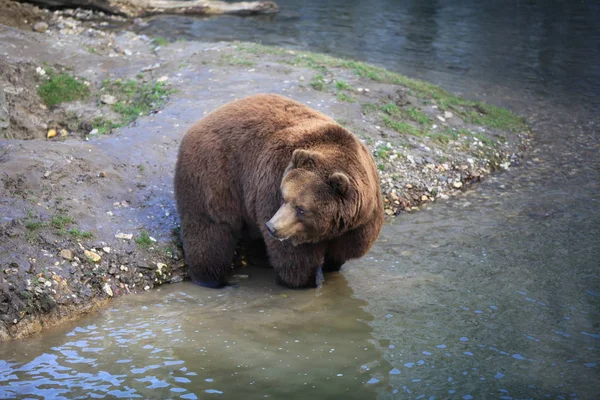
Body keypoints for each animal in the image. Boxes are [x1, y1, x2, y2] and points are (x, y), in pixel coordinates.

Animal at [176, 93, 384, 288]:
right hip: (215, 175)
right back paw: (212, 279)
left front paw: (331, 266)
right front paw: (303, 282)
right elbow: (294, 257)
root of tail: (198, 124)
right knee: (211, 229)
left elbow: (343, 251)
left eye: (301, 208)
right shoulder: (272, 183)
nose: (272, 227)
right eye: (284, 198)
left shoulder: (359, 223)